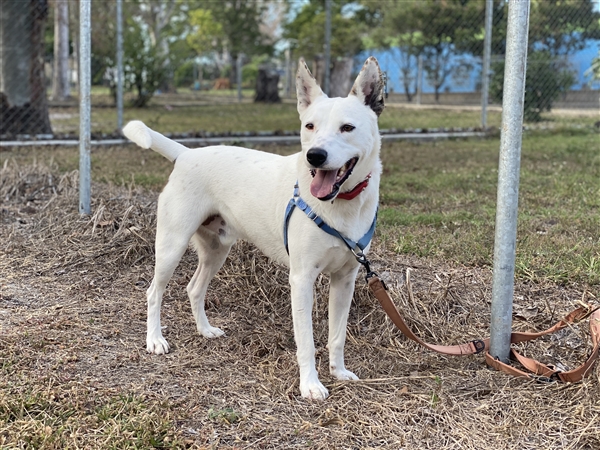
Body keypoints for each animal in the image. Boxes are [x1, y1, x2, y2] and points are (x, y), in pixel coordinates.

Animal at [123, 57, 384, 400]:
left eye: (348, 128)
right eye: (309, 126)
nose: (314, 156)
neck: (340, 205)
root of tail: (186, 153)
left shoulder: (345, 280)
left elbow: (337, 335)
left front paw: (338, 371)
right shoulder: (302, 279)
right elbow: (306, 341)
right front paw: (310, 385)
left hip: (216, 251)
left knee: (194, 288)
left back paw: (205, 330)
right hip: (171, 246)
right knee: (154, 291)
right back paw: (155, 340)